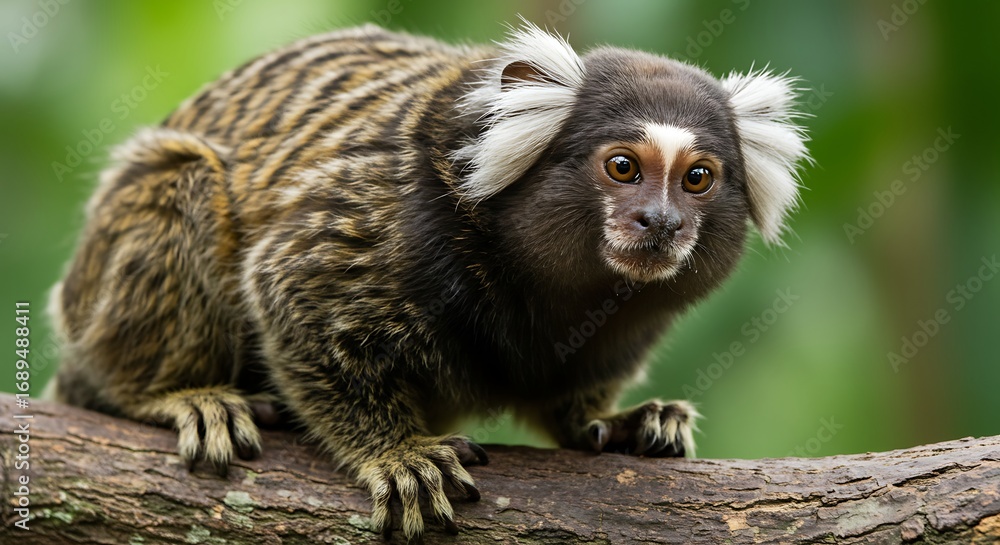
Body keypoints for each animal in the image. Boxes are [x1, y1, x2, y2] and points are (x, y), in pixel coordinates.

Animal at [46, 22, 808, 540]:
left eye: (697, 178)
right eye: (623, 167)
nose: (661, 220)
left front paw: (612, 421)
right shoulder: (385, 216)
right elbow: (289, 288)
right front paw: (394, 451)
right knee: (188, 181)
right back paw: (169, 393)